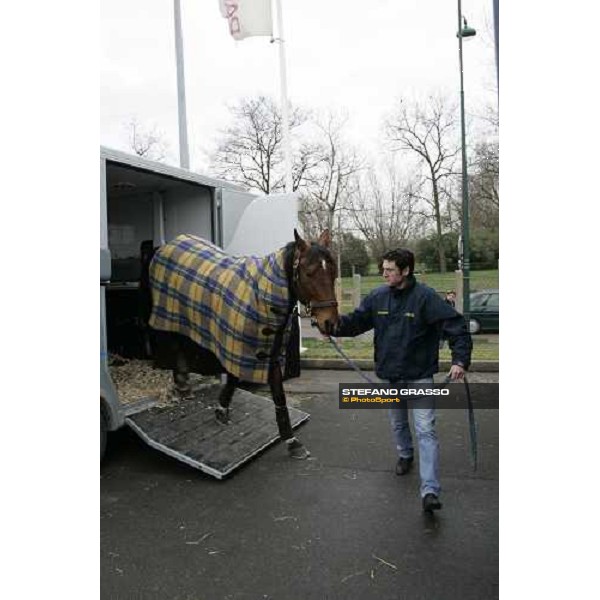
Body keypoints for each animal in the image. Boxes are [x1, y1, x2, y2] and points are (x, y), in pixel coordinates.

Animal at [141, 227, 338, 458]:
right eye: (309, 273)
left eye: (333, 272)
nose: (330, 322)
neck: (262, 296)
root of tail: (168, 245)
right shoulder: (246, 347)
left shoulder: (266, 352)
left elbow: (266, 389)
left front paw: (290, 440)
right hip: (171, 316)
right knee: (175, 344)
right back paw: (182, 384)